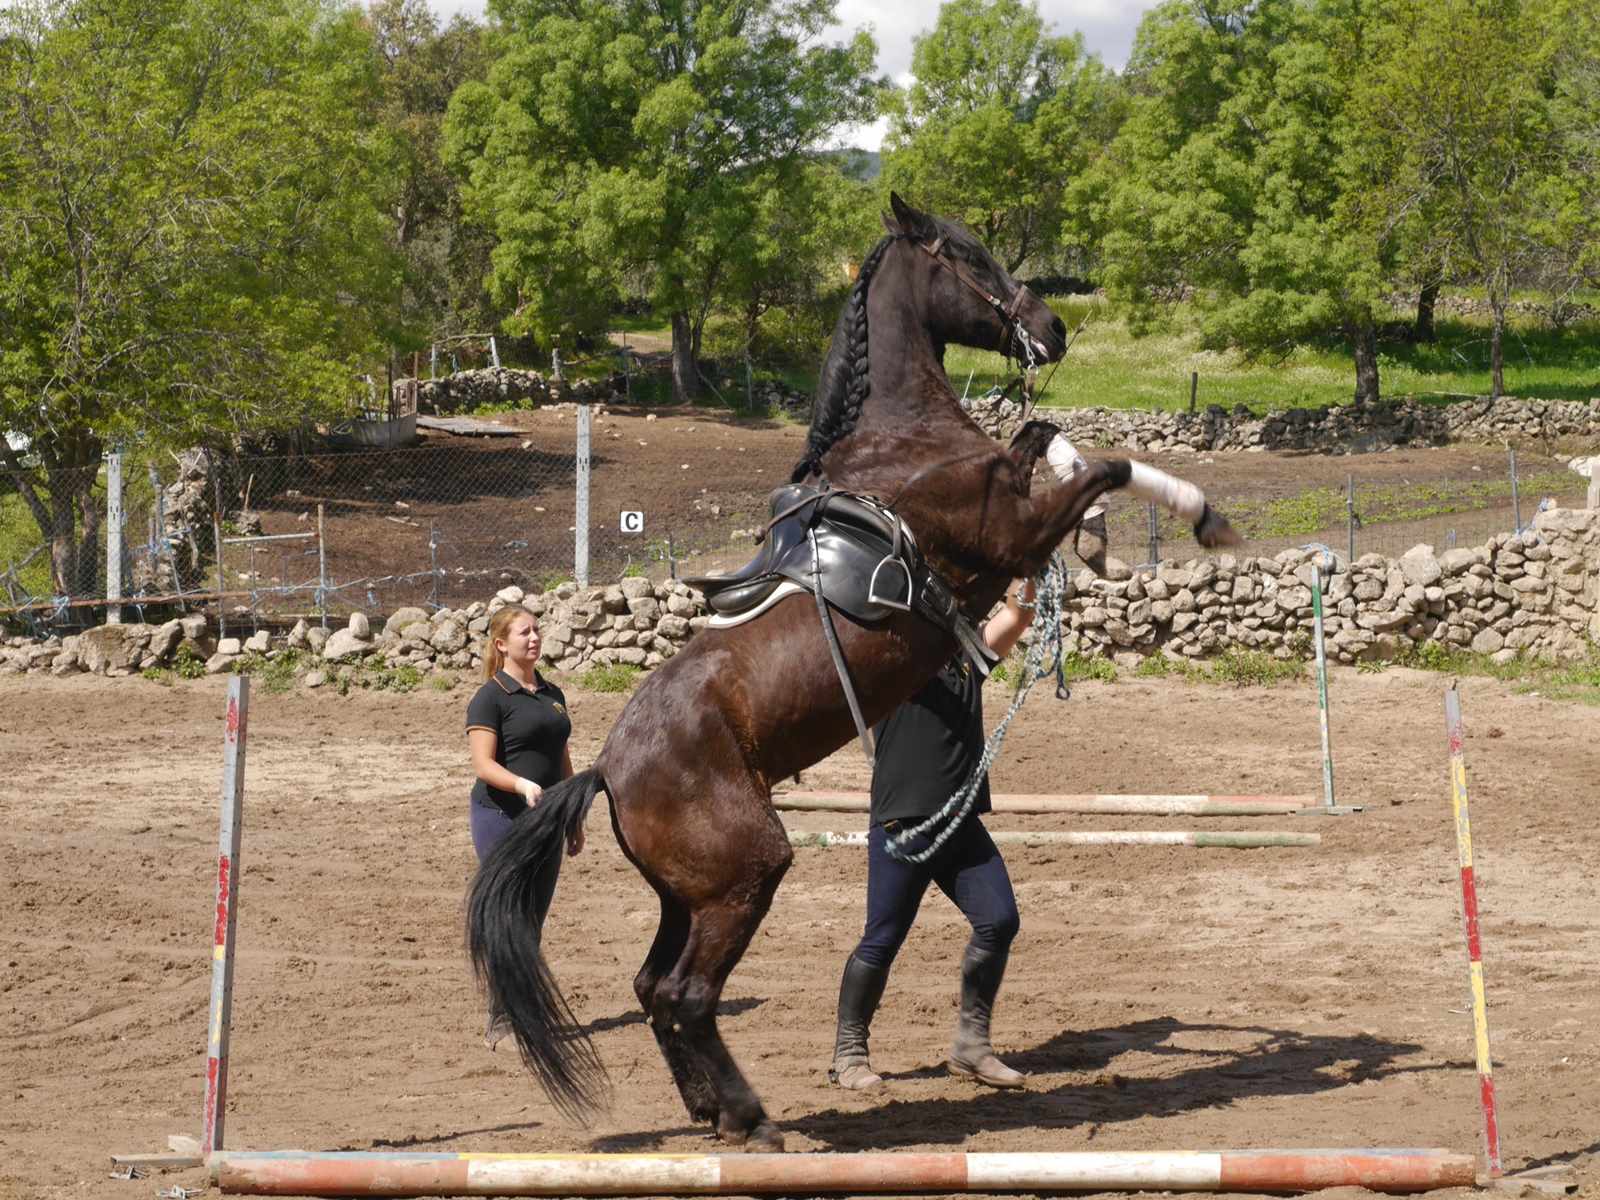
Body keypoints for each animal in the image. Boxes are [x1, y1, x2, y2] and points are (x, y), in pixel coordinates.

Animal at [467, 192, 1241, 1152]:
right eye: (968, 256)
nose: (1053, 327)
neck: (901, 443)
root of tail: (606, 768)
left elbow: (1052, 440)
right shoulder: (1007, 533)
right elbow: (1102, 463)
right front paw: (1196, 517)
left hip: (688, 894)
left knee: (655, 989)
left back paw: (712, 1112)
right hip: (747, 873)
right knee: (686, 994)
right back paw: (753, 1119)